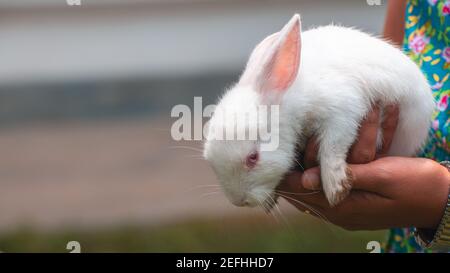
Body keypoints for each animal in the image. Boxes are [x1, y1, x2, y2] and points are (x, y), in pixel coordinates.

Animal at [202, 14, 434, 206]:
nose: (238, 201)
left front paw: (335, 189)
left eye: (253, 158)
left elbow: (333, 146)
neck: (288, 102)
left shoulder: (343, 111)